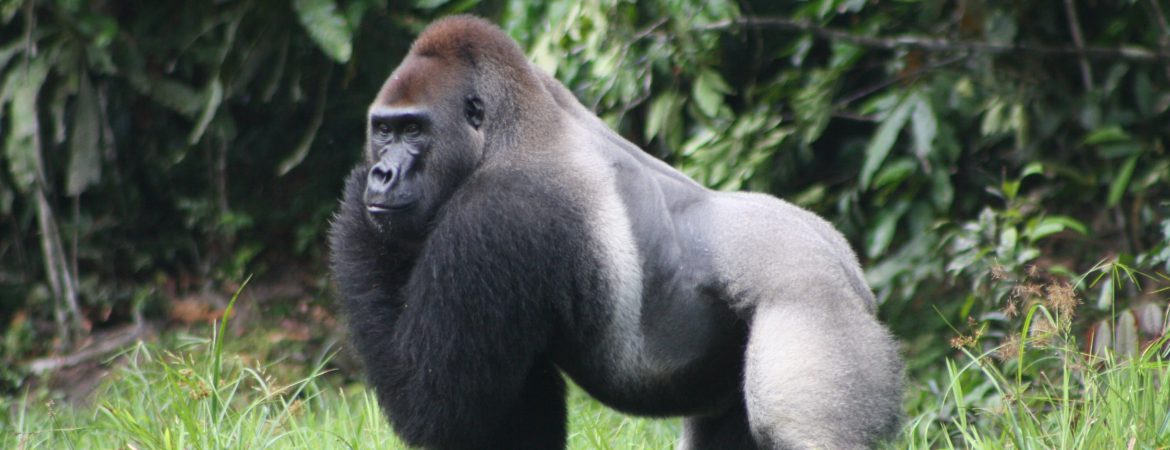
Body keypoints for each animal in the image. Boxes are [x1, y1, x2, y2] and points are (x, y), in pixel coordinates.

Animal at [329, 15, 903, 450]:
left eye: (413, 130)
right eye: (383, 129)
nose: (382, 173)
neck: (510, 130)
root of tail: (849, 269)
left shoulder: (493, 217)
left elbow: (438, 405)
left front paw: (352, 199)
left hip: (813, 304)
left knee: (801, 431)